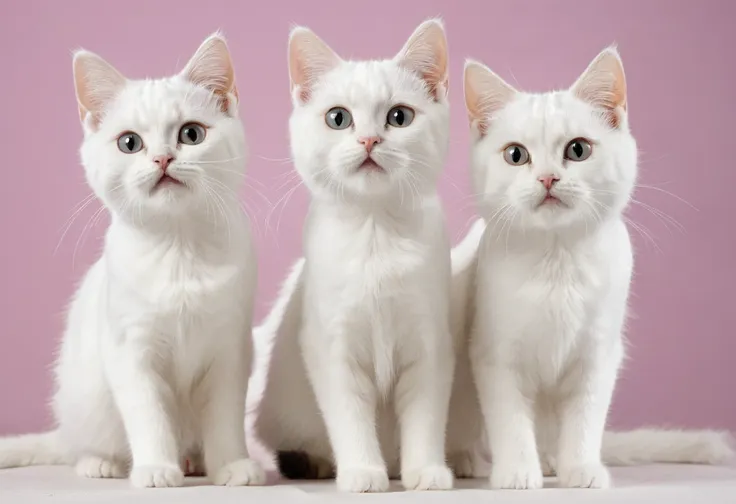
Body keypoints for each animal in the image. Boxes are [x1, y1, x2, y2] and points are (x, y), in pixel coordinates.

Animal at [0, 32, 264, 488]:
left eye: (191, 134)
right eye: (129, 143)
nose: (162, 158)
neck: (179, 250)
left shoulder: (230, 348)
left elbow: (224, 416)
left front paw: (231, 464)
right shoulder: (130, 350)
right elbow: (149, 415)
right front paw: (157, 468)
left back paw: (194, 461)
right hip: (85, 400)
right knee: (84, 445)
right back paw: (101, 463)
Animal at [256, 20, 458, 492]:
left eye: (399, 116)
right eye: (338, 118)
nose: (369, 139)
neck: (375, 234)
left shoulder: (430, 343)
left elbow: (424, 416)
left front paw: (425, 470)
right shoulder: (331, 345)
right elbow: (349, 416)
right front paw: (364, 472)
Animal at [462, 47, 732, 488]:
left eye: (578, 150)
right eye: (515, 155)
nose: (548, 178)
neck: (556, 261)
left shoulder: (599, 352)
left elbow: (586, 418)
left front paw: (581, 469)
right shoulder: (494, 353)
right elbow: (510, 418)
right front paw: (517, 472)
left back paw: (551, 460)